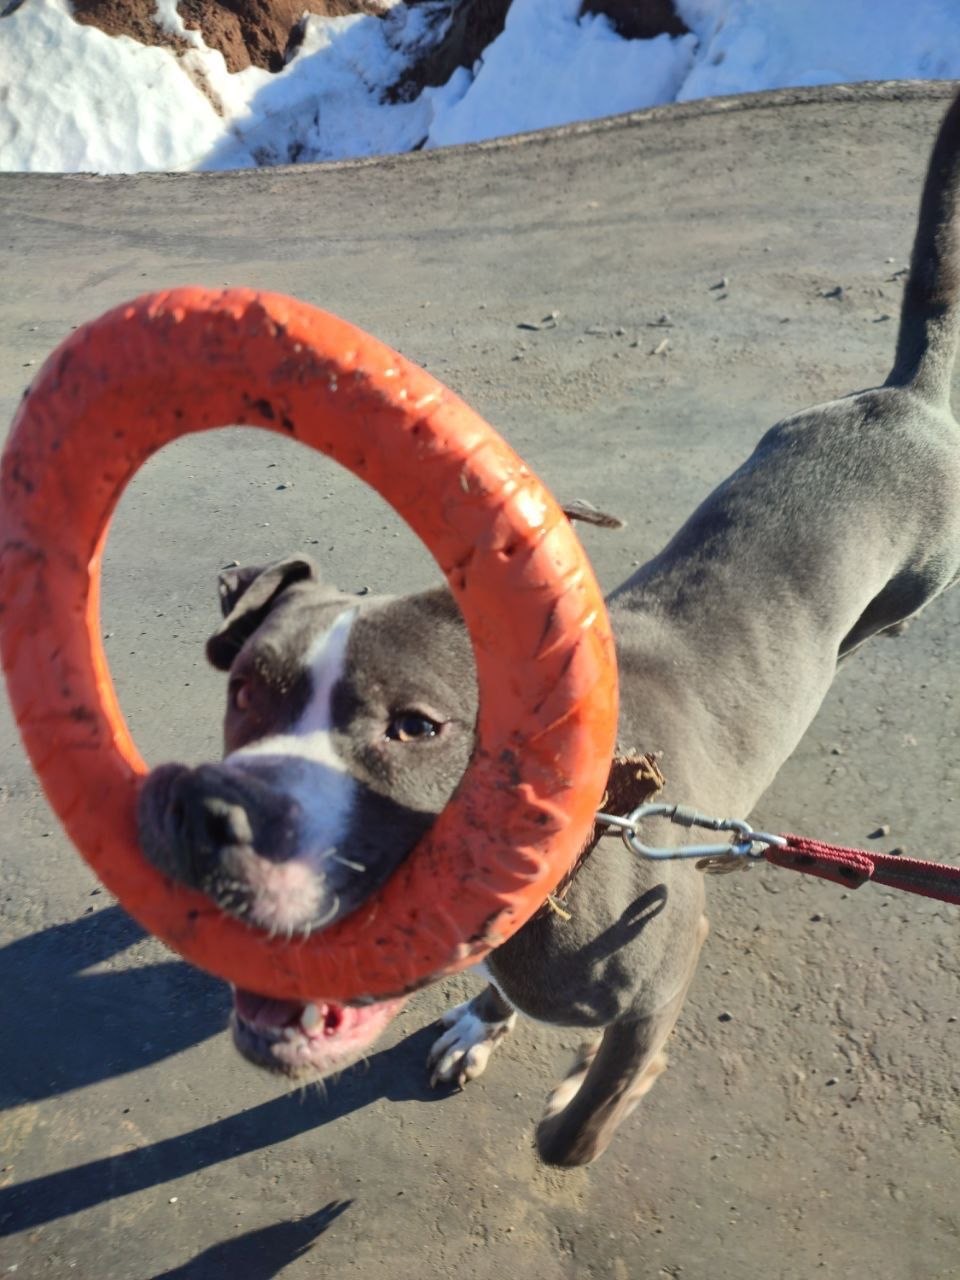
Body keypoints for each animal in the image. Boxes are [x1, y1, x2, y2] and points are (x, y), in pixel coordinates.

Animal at [138, 90, 960, 1167]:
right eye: (245, 689)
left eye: (417, 726)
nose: (212, 817)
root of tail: (897, 397)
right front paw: (481, 1024)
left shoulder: (660, 977)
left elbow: (584, 1117)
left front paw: (578, 1099)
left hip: (915, 584)